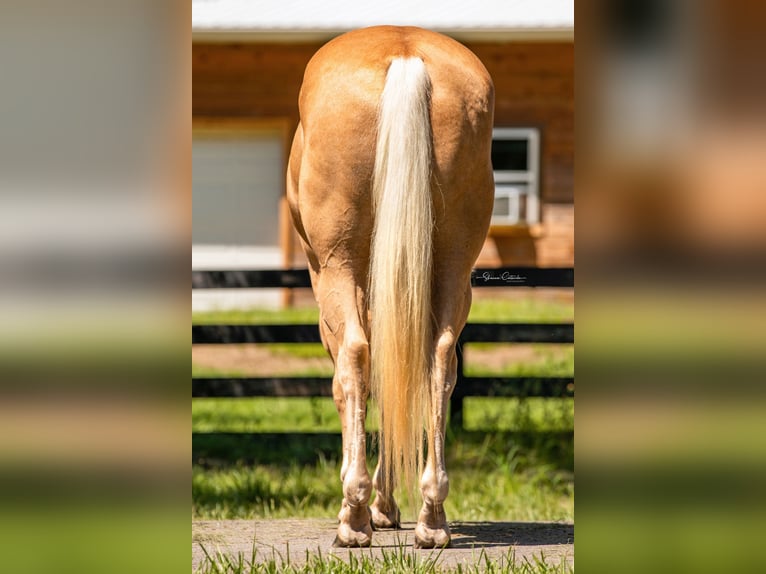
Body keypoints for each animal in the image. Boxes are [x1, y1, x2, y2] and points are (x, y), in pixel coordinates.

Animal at [284, 25, 496, 548]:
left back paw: (355, 517)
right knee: (439, 362)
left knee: (357, 358)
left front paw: (365, 503)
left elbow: (349, 385)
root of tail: (405, 53)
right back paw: (432, 518)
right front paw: (388, 503)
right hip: (454, 270)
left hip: (337, 268)